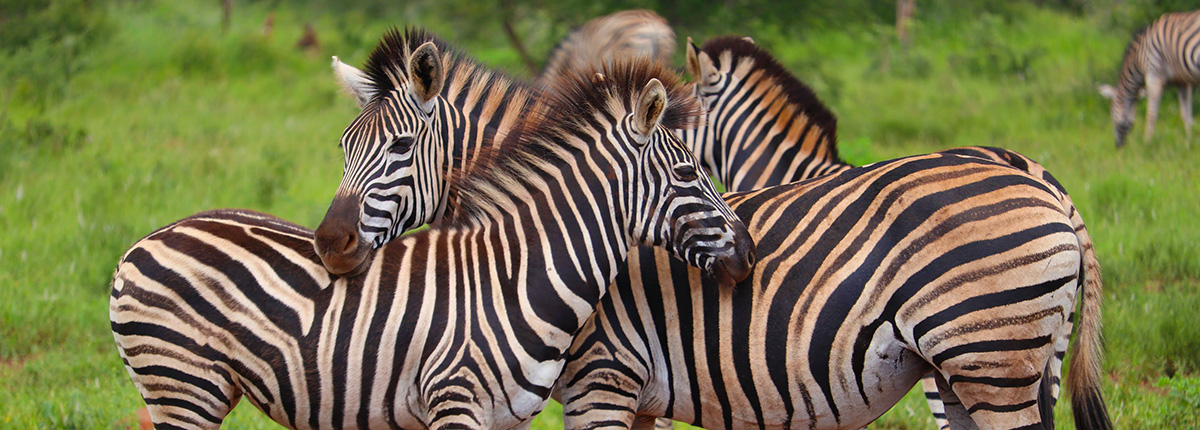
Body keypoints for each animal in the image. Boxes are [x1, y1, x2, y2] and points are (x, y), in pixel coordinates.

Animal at [110, 57, 756, 429]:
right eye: (688, 173)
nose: (749, 253)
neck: (519, 275)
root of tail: (142, 242)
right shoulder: (455, 401)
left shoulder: (509, 418)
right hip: (181, 387)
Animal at [1108, 10, 1200, 148]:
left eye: (1112, 114)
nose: (1118, 147)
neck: (1139, 59)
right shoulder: (1182, 81)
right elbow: (1186, 114)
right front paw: (1189, 142)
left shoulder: (1153, 74)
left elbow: (1151, 113)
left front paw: (1147, 142)